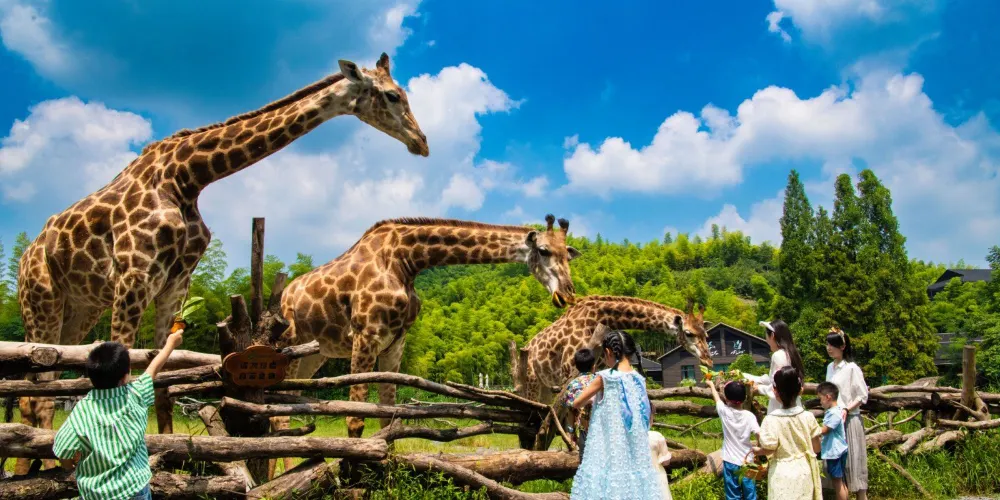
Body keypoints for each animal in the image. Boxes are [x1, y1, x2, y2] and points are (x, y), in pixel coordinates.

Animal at [13, 53, 428, 474]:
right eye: (393, 95)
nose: (422, 142)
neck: (188, 176)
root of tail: (28, 254)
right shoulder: (134, 275)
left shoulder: (174, 284)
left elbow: (160, 384)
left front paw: (167, 460)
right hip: (41, 299)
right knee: (35, 392)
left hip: (79, 310)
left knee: (43, 384)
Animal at [275, 214, 581, 440]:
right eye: (543, 251)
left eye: (568, 255)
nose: (567, 294)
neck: (406, 261)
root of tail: (282, 297)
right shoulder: (365, 335)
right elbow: (355, 419)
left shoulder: (394, 343)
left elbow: (387, 417)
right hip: (289, 347)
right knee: (280, 414)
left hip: (315, 355)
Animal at [511, 295, 713, 406]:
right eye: (688, 333)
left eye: (706, 335)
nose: (708, 360)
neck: (599, 317)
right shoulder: (568, 370)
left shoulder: (596, 370)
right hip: (530, 381)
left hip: (544, 386)